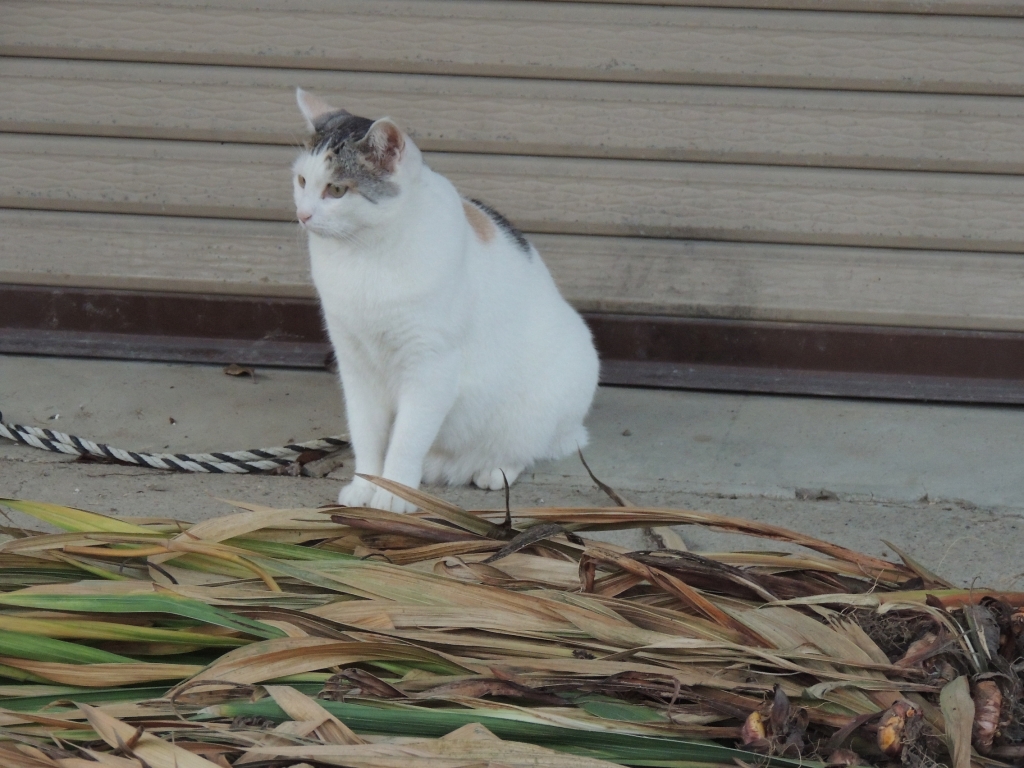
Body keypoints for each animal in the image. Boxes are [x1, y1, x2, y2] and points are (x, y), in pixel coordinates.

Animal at [292, 88, 598, 512]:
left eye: (336, 189)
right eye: (302, 180)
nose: (302, 214)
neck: (362, 258)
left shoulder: (430, 368)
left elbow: (406, 441)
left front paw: (393, 494)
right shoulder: (355, 367)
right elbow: (366, 434)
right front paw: (366, 485)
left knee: (525, 449)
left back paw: (494, 469)